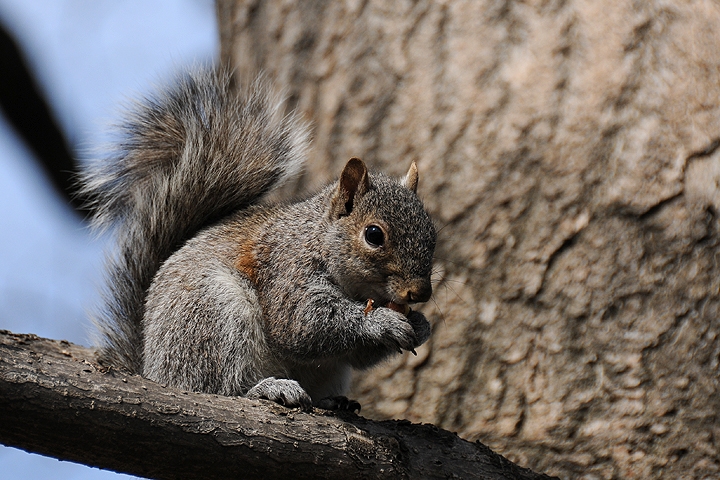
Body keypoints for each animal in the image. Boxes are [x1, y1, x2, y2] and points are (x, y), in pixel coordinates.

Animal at [82, 69, 436, 410]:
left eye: (432, 232)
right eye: (373, 235)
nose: (420, 292)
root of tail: (152, 368)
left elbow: (356, 354)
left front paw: (421, 325)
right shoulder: (286, 270)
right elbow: (304, 322)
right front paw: (382, 322)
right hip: (213, 315)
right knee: (219, 387)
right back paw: (266, 389)